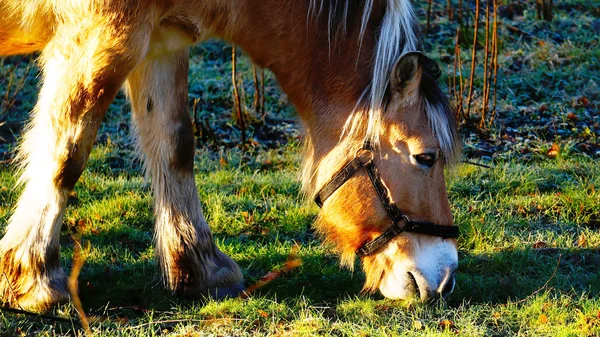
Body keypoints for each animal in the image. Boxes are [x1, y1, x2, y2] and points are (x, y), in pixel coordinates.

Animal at [0, 0, 460, 312]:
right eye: (425, 157)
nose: (444, 279)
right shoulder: (97, 35)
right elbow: (66, 153)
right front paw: (33, 279)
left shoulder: (161, 43)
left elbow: (175, 146)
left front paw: (200, 268)